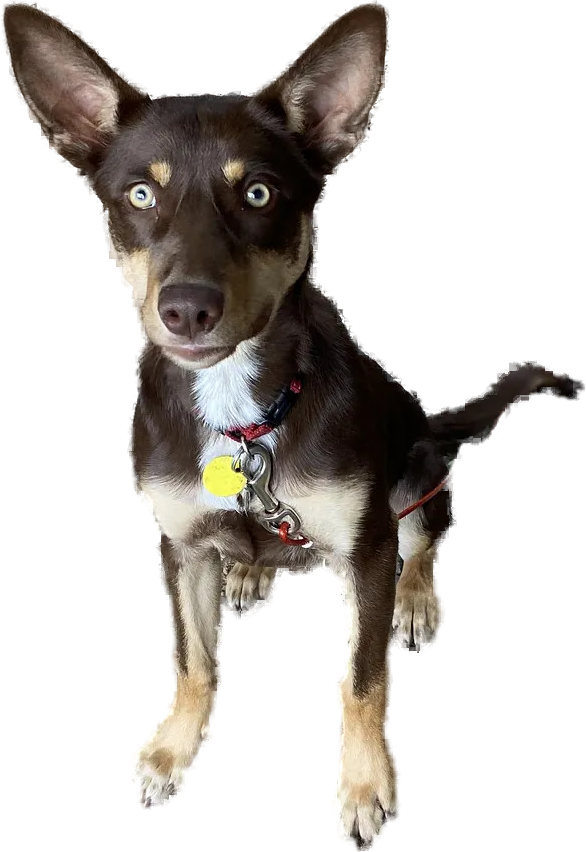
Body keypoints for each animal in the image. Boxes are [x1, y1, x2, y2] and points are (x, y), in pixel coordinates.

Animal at [4, 2, 580, 845]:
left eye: (258, 194)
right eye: (140, 195)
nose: (187, 308)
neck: (237, 412)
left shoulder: (365, 550)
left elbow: (361, 679)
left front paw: (365, 783)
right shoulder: (179, 547)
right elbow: (192, 662)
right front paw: (175, 745)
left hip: (419, 472)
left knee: (423, 541)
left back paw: (415, 596)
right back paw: (247, 568)